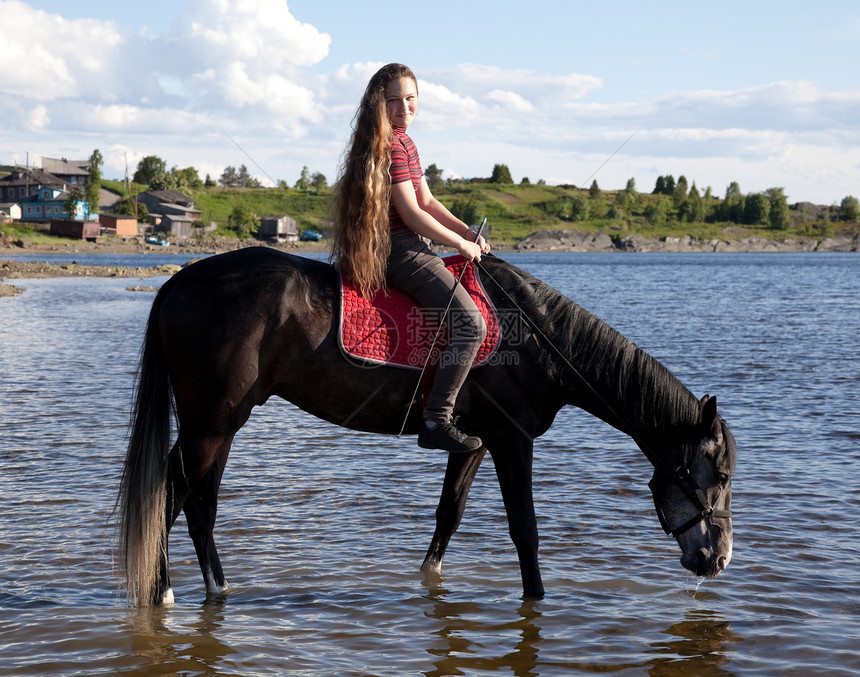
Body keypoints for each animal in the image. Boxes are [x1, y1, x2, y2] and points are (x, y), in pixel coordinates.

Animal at [117, 248, 736, 608]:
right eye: (721, 475)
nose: (718, 559)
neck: (536, 339)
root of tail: (178, 282)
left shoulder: (476, 442)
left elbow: (449, 515)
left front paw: (429, 582)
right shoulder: (513, 441)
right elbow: (525, 530)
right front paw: (536, 599)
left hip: (217, 427)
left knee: (190, 503)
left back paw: (203, 589)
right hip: (212, 426)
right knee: (173, 498)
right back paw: (173, 592)